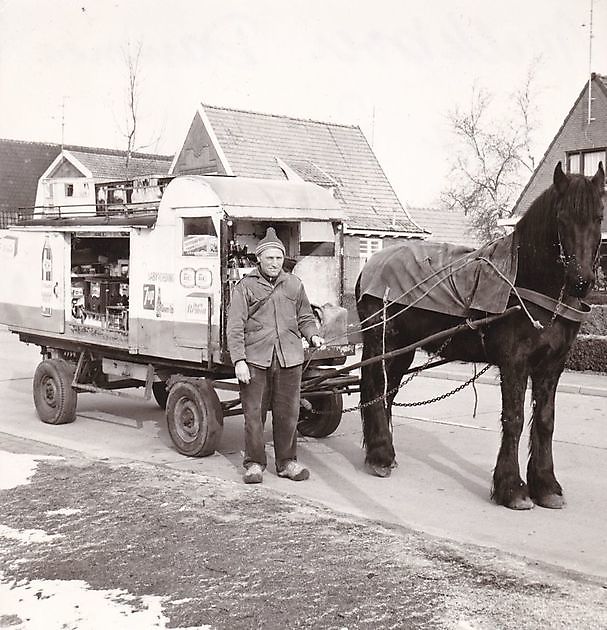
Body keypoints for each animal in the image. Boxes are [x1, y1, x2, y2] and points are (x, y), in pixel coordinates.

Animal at [354, 160, 604, 512]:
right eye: (561, 217)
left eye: (598, 217)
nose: (582, 281)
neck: (528, 282)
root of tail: (371, 265)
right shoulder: (514, 363)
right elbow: (514, 419)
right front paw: (512, 488)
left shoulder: (552, 364)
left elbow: (545, 420)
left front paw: (546, 485)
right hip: (382, 342)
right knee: (376, 389)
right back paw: (379, 456)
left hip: (402, 350)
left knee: (386, 394)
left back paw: (385, 453)